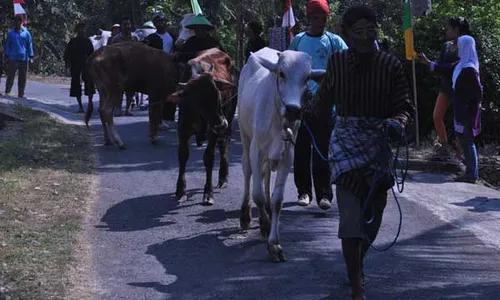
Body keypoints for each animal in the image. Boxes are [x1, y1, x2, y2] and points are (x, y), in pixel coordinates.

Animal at [170, 47, 238, 206]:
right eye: (198, 100)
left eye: (218, 95)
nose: (221, 123)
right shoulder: (182, 130)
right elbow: (183, 156)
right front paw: (180, 191)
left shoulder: (213, 132)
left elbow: (209, 158)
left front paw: (208, 193)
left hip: (229, 118)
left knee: (224, 146)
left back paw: (223, 178)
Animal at [239, 47, 328, 262]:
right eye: (281, 73)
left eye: (306, 78)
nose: (293, 110)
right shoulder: (256, 148)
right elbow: (257, 194)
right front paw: (263, 224)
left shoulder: (288, 154)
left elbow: (278, 200)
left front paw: (274, 244)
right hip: (245, 136)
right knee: (247, 171)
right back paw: (245, 214)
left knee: (265, 175)